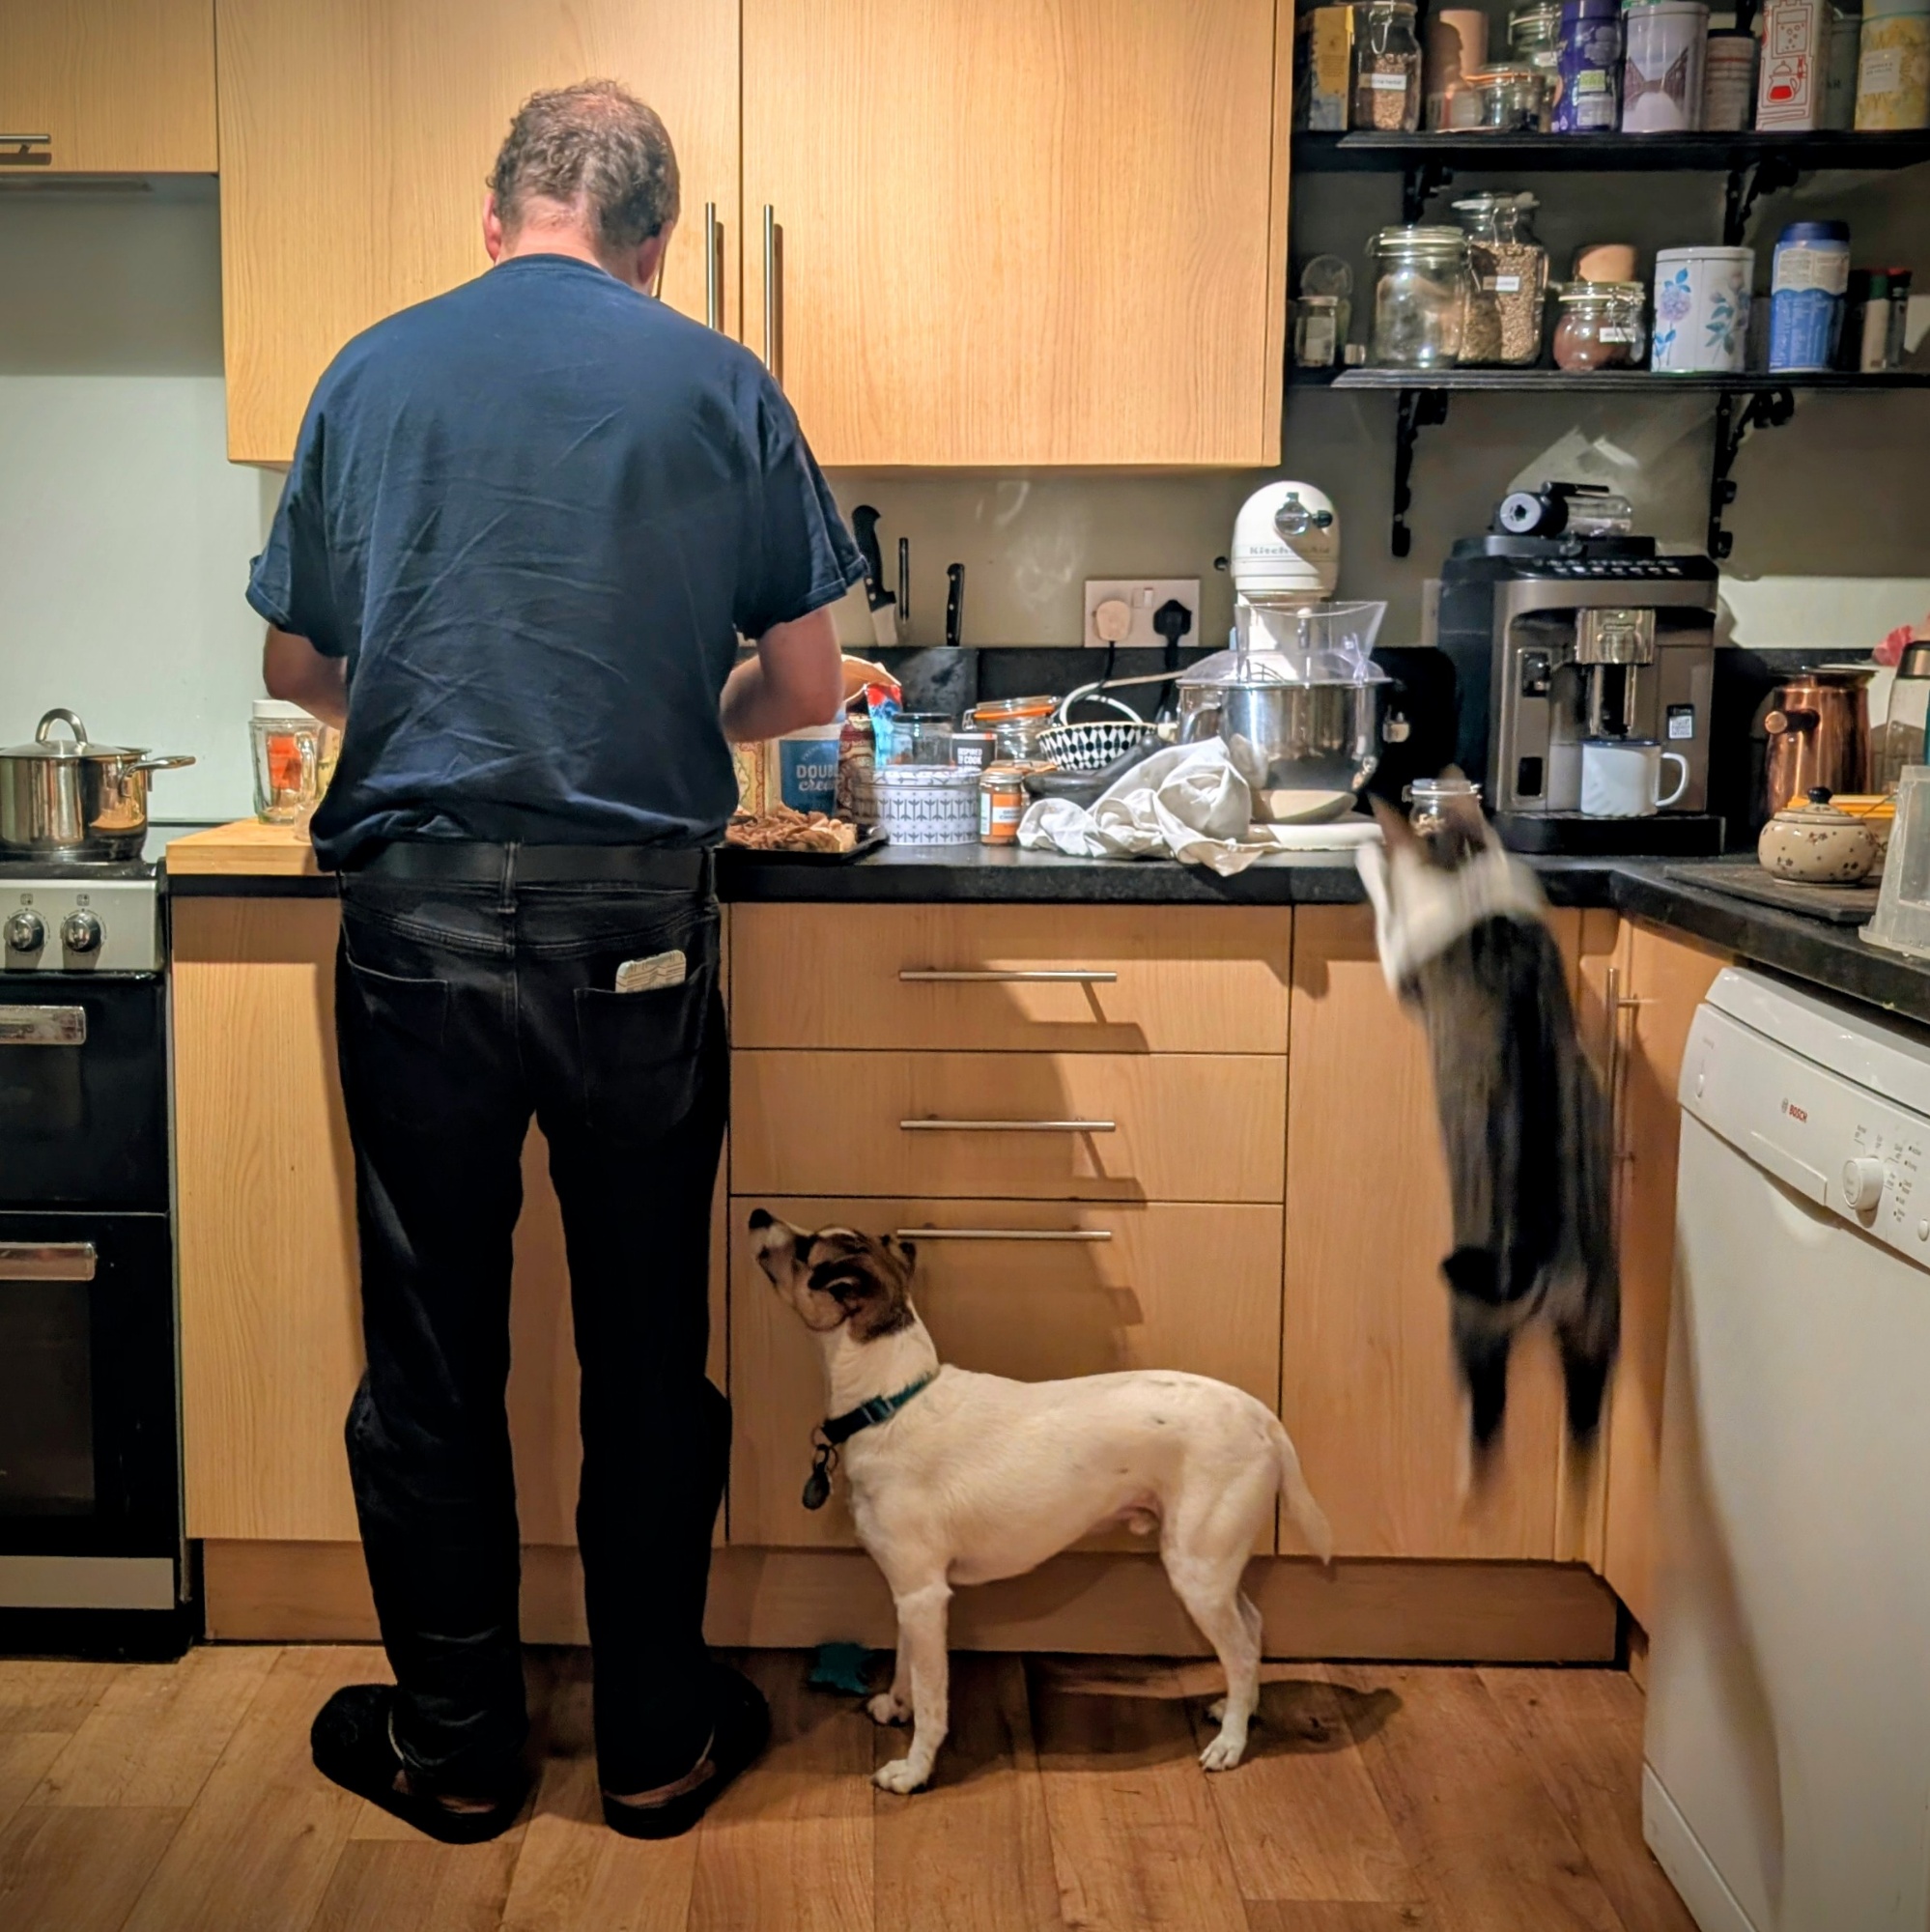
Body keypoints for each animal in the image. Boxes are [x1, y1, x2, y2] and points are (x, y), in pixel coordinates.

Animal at [747, 1209, 1334, 1793]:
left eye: (805, 1250)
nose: (757, 1213)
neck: (889, 1402)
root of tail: (1263, 1416)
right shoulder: (910, 1593)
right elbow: (907, 1663)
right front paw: (896, 1705)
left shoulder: (924, 1595)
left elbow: (933, 1699)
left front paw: (914, 1770)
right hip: (1213, 1566)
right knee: (1252, 1628)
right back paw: (1240, 1710)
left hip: (1198, 1568)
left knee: (1240, 1651)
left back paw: (1230, 1743)